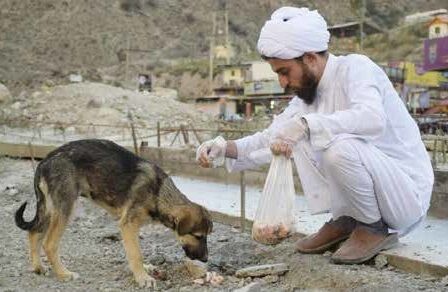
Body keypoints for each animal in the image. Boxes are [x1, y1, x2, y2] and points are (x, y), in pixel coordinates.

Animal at [14, 139, 213, 288]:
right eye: (198, 236)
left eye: (206, 236)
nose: (205, 259)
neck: (158, 193)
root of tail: (45, 160)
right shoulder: (128, 224)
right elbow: (136, 254)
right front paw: (143, 278)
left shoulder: (130, 227)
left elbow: (134, 250)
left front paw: (144, 270)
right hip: (65, 207)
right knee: (49, 243)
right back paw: (63, 273)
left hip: (49, 208)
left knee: (34, 233)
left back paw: (38, 267)